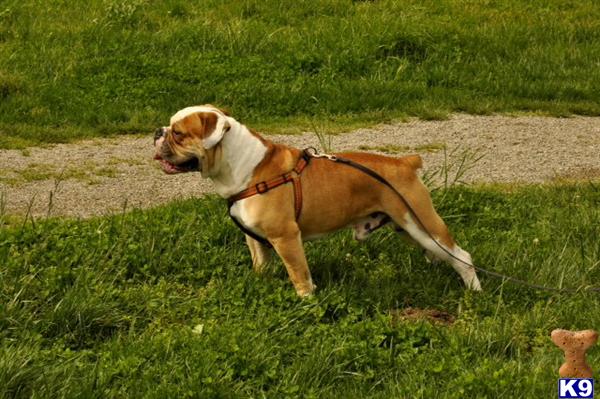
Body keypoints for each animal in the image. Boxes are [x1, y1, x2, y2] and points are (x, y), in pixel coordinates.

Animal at [155, 104, 482, 298]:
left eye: (179, 133)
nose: (158, 131)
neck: (244, 165)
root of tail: (404, 162)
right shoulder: (257, 240)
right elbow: (261, 266)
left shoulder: (286, 238)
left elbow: (300, 276)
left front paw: (307, 304)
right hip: (408, 228)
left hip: (422, 224)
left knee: (462, 256)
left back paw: (474, 292)